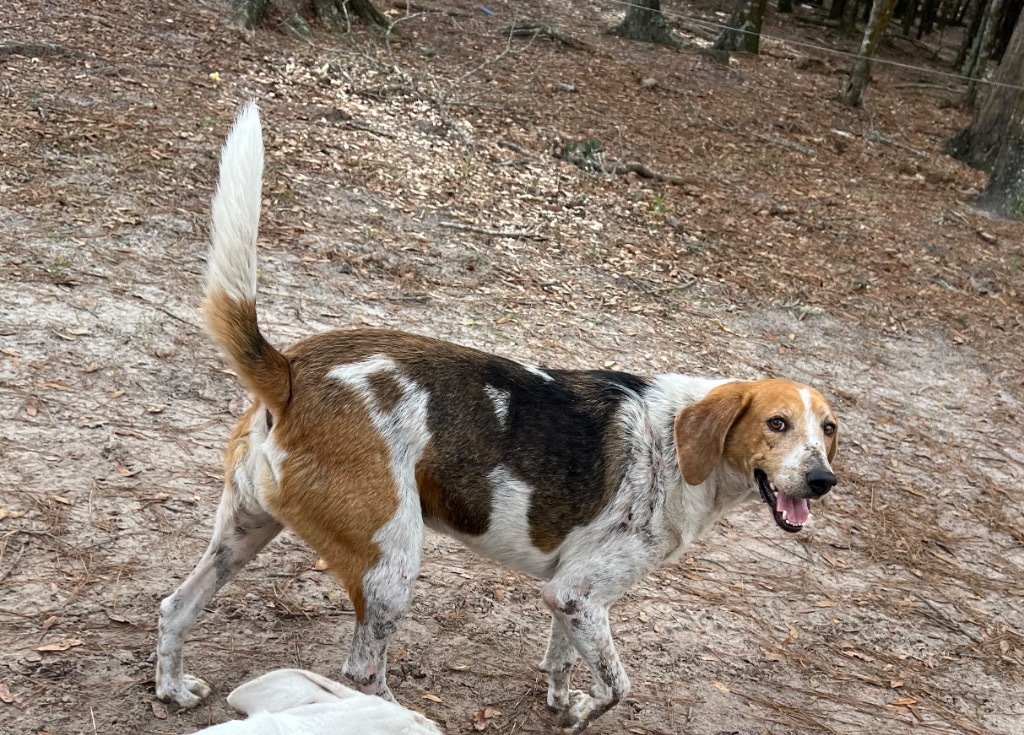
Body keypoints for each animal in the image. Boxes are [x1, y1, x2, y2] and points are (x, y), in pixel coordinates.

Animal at [153, 100, 839, 732]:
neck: (675, 448)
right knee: (363, 672)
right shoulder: (578, 595)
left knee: (175, 606)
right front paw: (583, 713)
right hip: (391, 563)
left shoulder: (571, 596)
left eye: (828, 430)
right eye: (777, 424)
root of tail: (293, 370)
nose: (822, 481)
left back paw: (172, 688)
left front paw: (562, 703)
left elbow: (563, 662)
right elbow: (617, 687)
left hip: (244, 532)